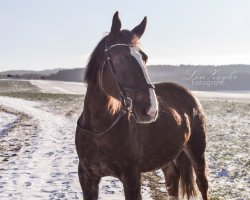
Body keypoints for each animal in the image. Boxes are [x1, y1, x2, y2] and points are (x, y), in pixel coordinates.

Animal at [75, 11, 208, 199]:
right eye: (121, 59)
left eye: (144, 58)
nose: (151, 109)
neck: (99, 130)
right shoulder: (87, 177)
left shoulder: (132, 177)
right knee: (172, 179)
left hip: (197, 149)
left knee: (202, 183)